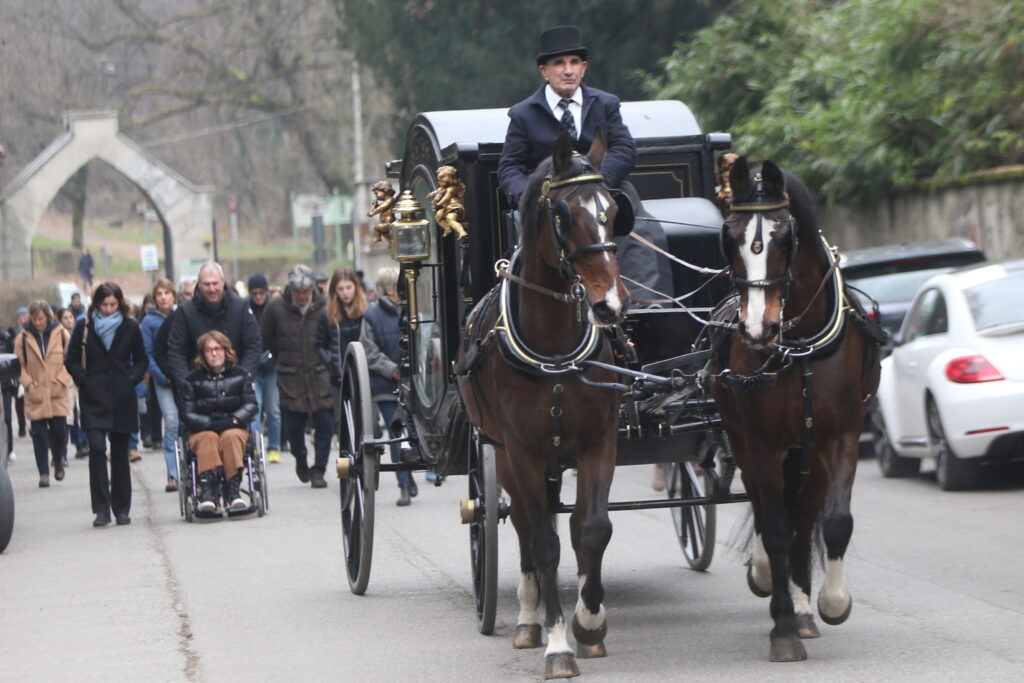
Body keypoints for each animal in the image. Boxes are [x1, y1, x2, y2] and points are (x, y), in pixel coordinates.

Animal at [458, 132, 630, 679]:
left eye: (612, 210)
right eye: (562, 215)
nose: (609, 305)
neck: (554, 348)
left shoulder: (600, 442)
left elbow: (592, 529)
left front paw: (590, 624)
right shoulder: (523, 451)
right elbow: (544, 544)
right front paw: (557, 642)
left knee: (560, 522)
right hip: (504, 454)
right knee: (524, 525)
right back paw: (529, 617)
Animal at [712, 158, 880, 663]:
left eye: (785, 237)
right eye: (729, 237)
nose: (757, 329)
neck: (799, 346)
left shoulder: (840, 436)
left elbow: (836, 521)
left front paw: (831, 603)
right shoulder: (763, 442)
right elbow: (775, 526)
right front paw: (782, 627)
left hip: (807, 453)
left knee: (805, 516)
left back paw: (805, 607)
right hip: (745, 443)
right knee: (767, 510)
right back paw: (772, 581)